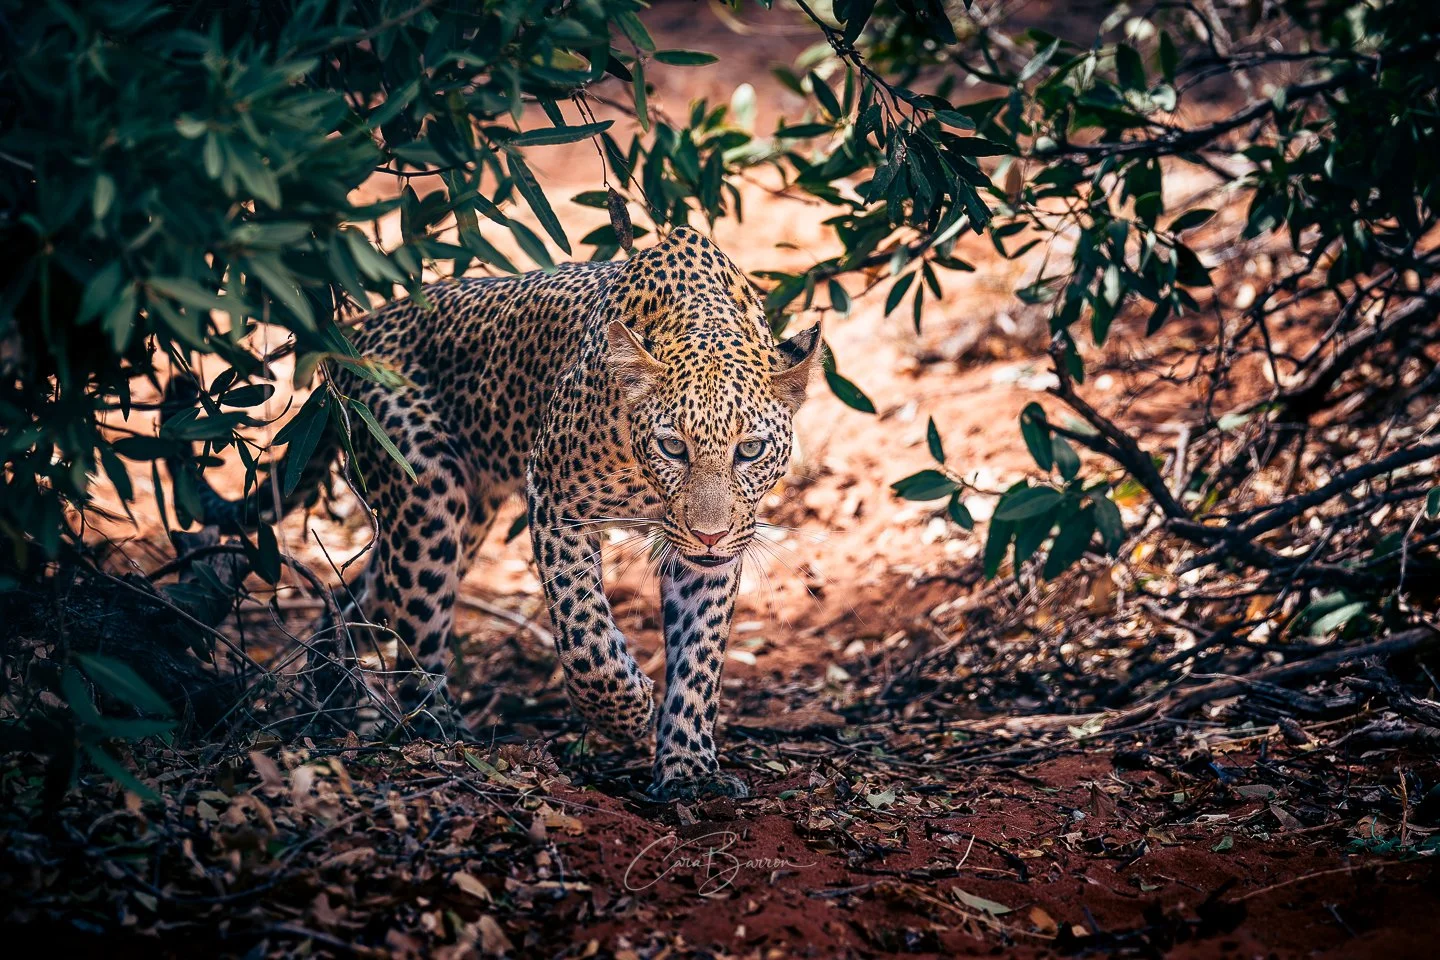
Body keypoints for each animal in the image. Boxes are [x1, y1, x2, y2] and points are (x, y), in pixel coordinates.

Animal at [182, 226, 822, 800]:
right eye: (672, 448)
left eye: (750, 450)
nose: (709, 534)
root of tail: (354, 336)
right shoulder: (557, 498)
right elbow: (584, 632)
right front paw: (629, 709)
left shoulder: (709, 554)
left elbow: (700, 657)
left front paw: (688, 767)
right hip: (427, 495)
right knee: (418, 627)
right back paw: (439, 734)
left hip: (467, 515)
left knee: (358, 596)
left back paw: (330, 702)